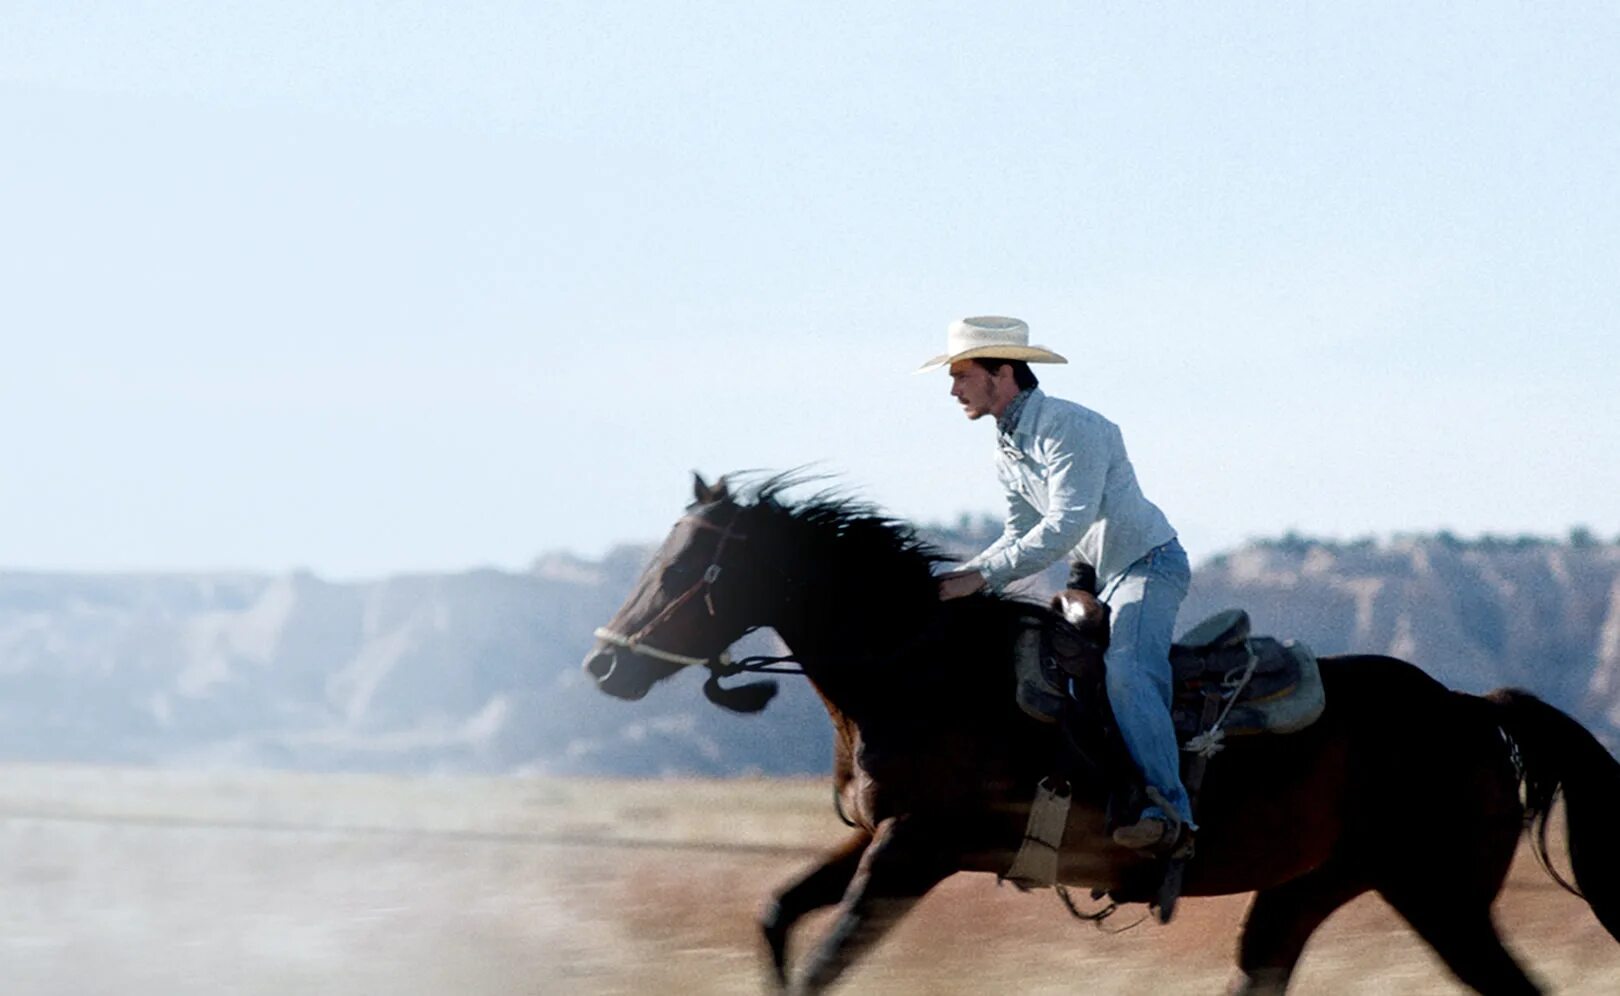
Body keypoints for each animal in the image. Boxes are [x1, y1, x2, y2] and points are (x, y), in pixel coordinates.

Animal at [583, 476, 1620, 996]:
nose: (603, 665)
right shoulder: (879, 839)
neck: (925, 671)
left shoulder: (917, 850)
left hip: (1442, 899)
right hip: (1309, 892)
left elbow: (825, 957)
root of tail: (1473, 708)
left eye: (690, 566)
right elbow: (775, 913)